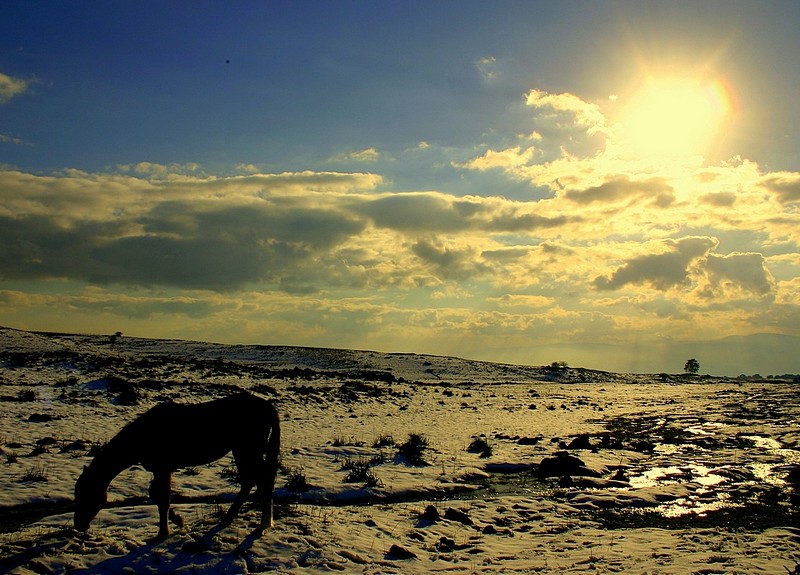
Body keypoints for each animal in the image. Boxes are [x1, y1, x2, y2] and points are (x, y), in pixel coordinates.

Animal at [74, 392, 282, 540]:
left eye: (86, 495)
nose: (79, 525)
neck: (144, 435)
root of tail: (268, 407)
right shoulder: (162, 469)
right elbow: (157, 495)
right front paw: (176, 520)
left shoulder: (163, 468)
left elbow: (162, 498)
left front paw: (163, 532)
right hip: (242, 451)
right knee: (251, 480)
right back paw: (231, 518)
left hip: (247, 449)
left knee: (260, 479)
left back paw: (262, 524)